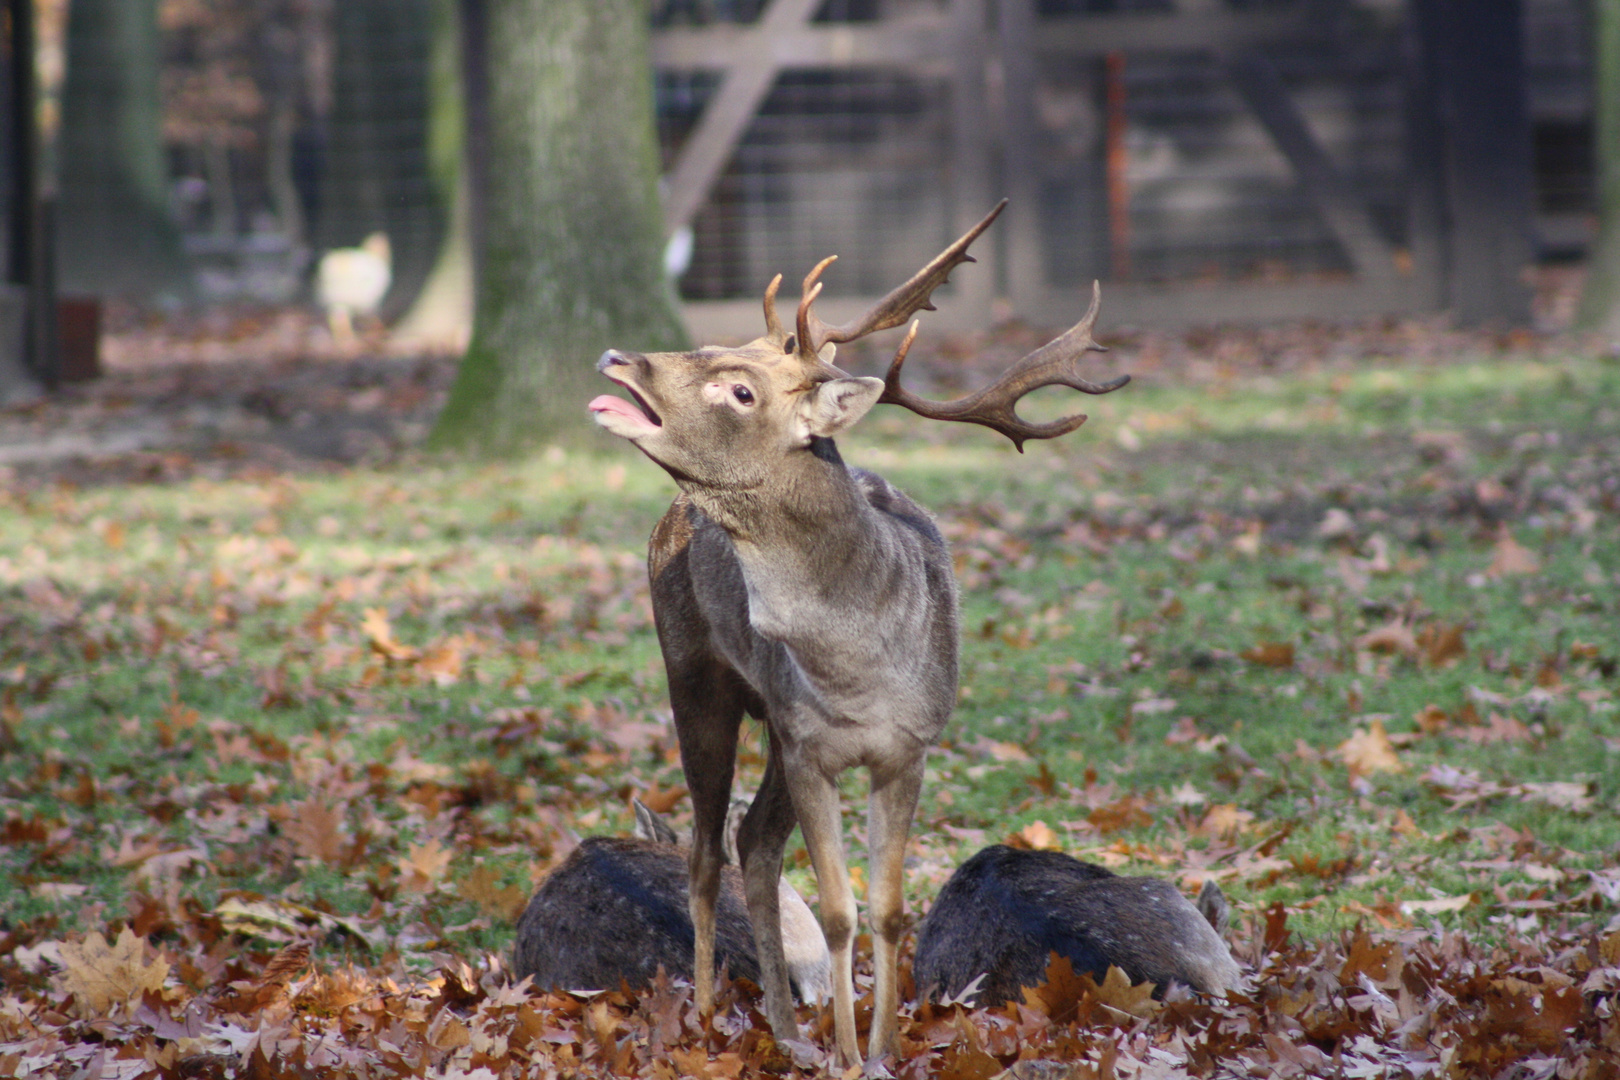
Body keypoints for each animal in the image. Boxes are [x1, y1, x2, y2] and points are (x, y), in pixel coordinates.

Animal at [589, 200, 1134, 1062]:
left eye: (739, 388)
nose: (618, 357)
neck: (855, 666)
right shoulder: (813, 747)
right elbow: (840, 912)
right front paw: (849, 1056)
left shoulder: (907, 748)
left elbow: (886, 909)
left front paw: (881, 1049)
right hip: (694, 673)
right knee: (705, 852)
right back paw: (708, 1019)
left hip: (768, 726)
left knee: (751, 840)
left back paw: (784, 1030)